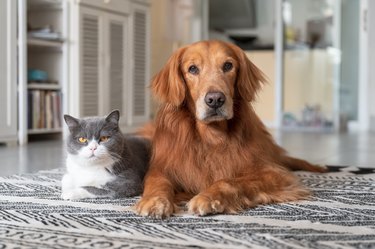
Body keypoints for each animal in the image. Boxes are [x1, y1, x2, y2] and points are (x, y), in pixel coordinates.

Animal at [135, 39, 326, 218]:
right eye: (193, 69)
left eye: (228, 66)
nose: (215, 100)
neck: (212, 137)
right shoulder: (162, 167)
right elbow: (156, 182)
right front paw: (154, 200)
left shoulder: (274, 173)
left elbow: (230, 181)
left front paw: (208, 197)